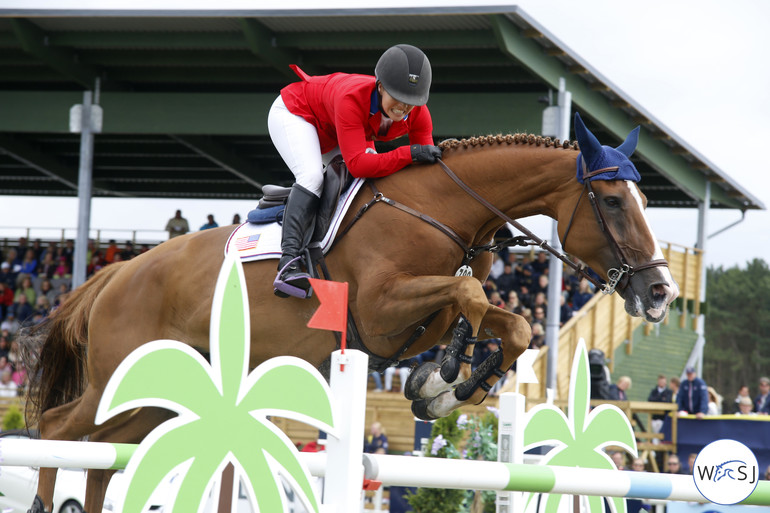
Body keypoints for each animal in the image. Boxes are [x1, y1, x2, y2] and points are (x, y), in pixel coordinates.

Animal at [24, 113, 676, 512]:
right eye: (612, 202)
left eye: (645, 199)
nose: (662, 293)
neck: (443, 207)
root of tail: (114, 274)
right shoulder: (380, 308)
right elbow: (469, 299)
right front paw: (442, 384)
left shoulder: (419, 316)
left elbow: (502, 319)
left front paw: (441, 386)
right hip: (115, 377)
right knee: (58, 432)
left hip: (150, 397)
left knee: (101, 457)